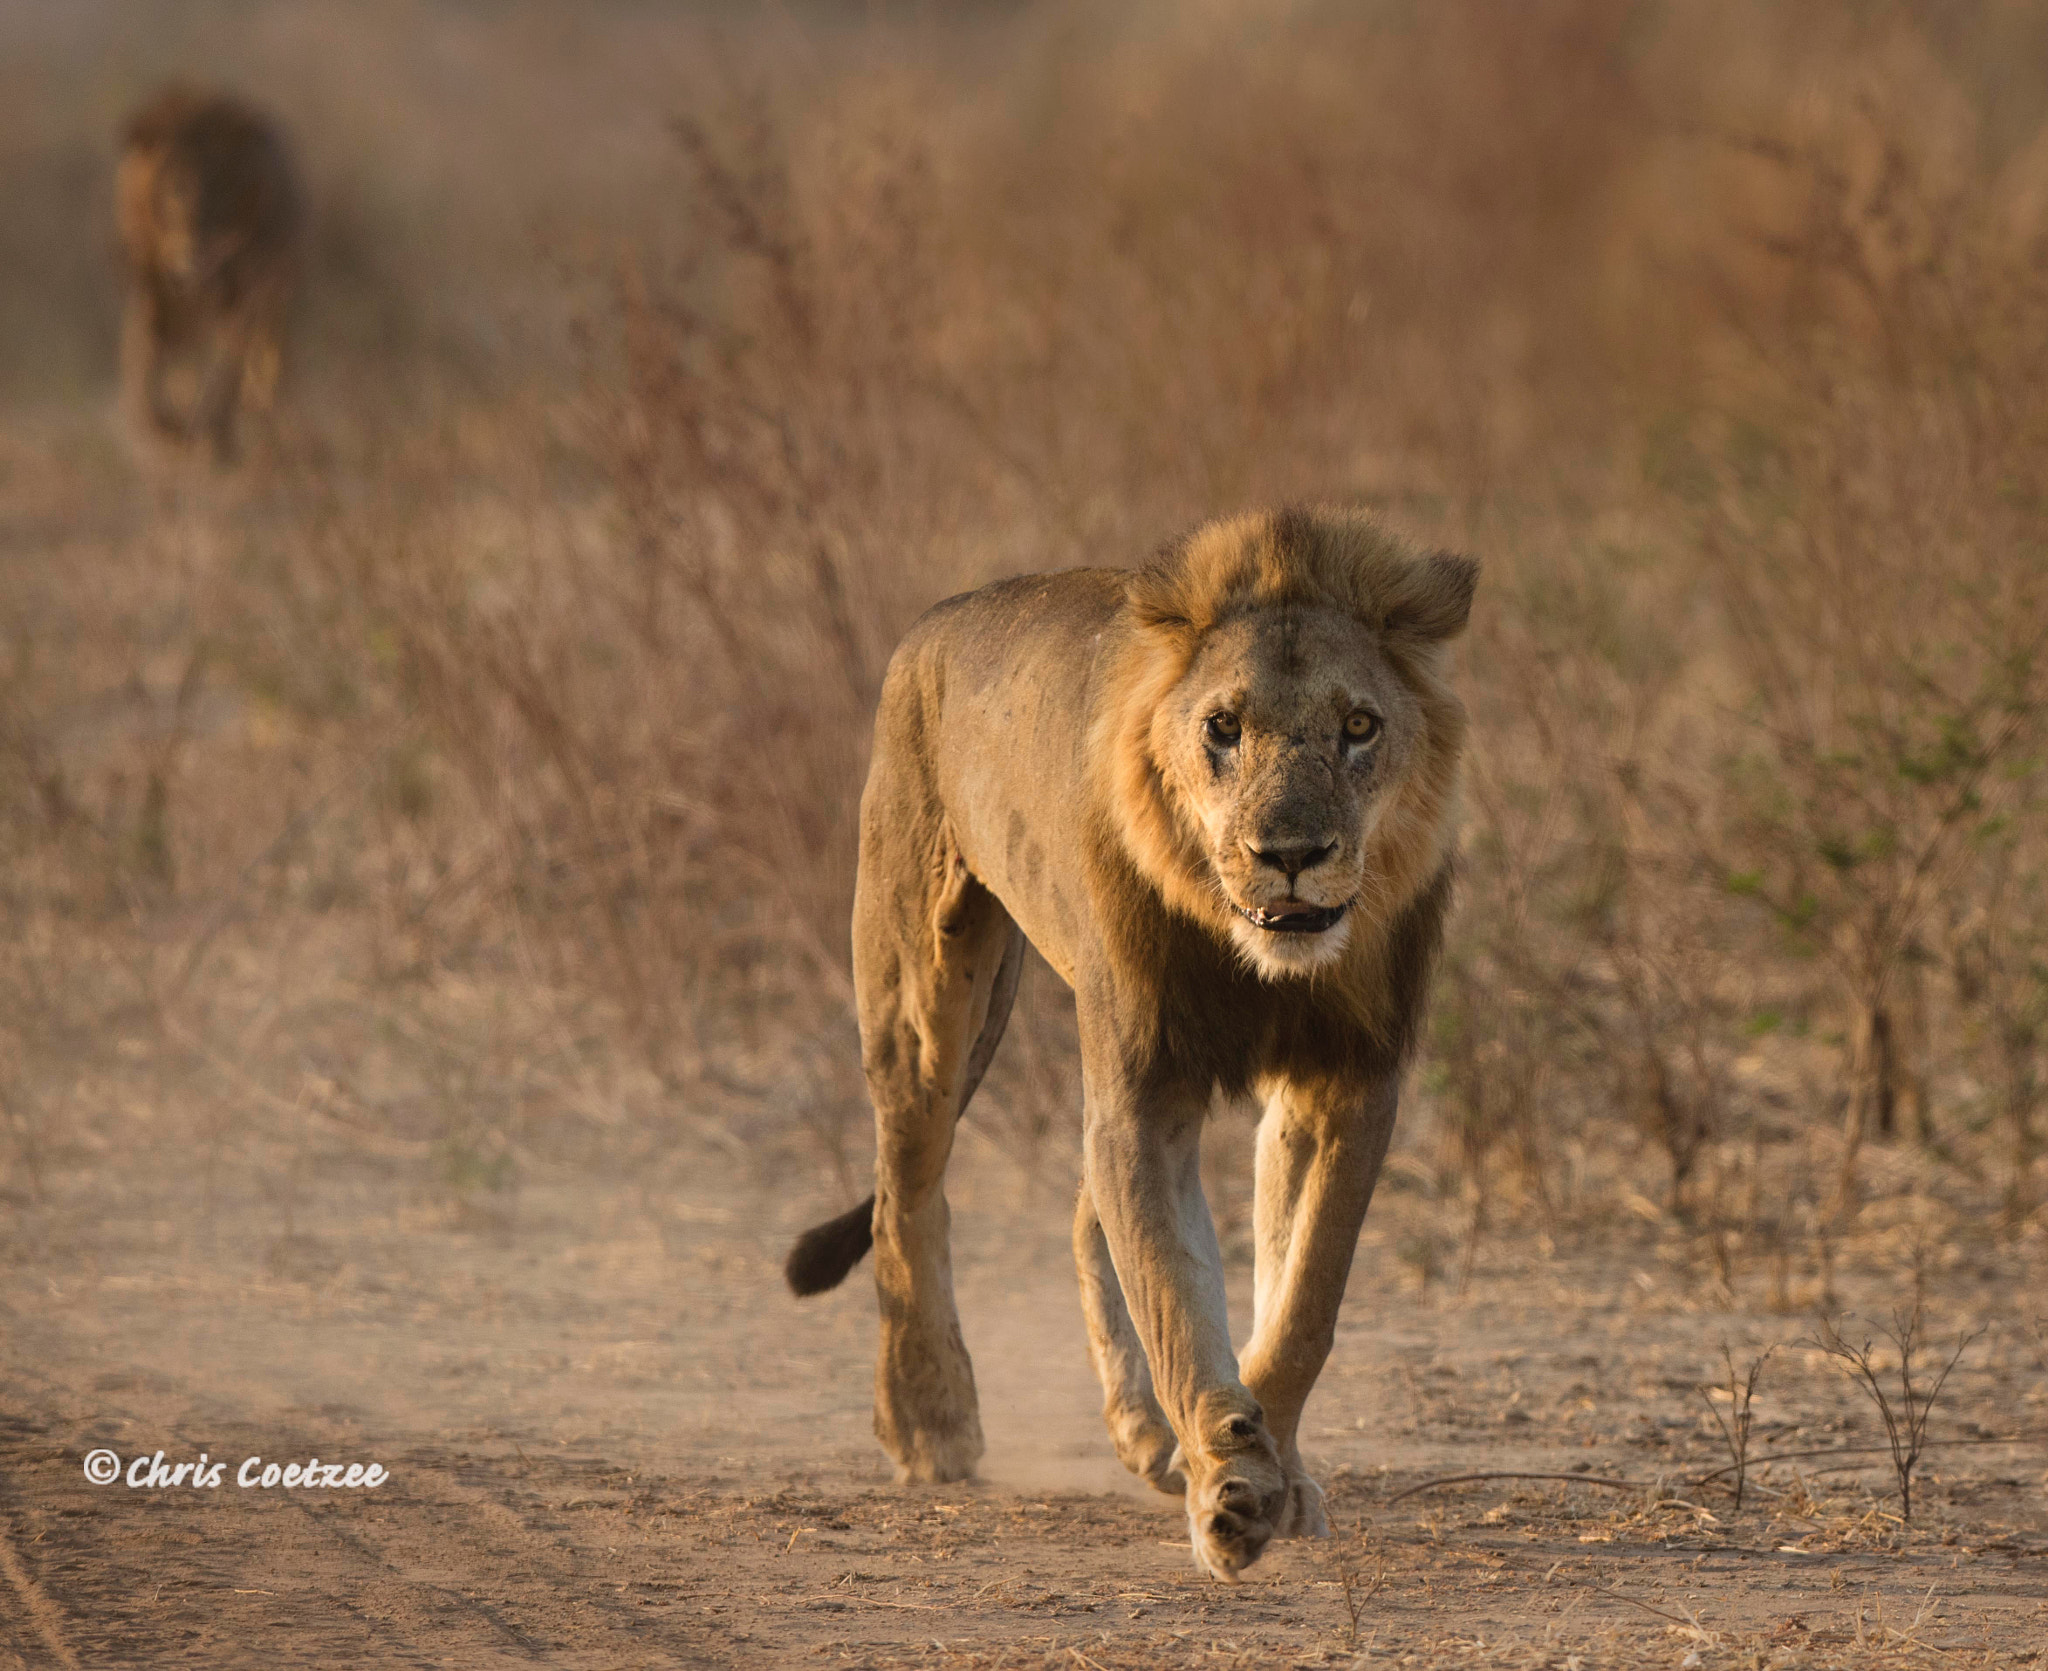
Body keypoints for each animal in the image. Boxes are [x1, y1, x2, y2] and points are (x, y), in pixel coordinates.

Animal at [116, 85, 303, 462]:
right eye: (171, 193)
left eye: (222, 195)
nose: (192, 258)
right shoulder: (148, 288)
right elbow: (142, 356)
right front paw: (160, 425)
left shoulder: (249, 292)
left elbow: (224, 369)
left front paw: (204, 434)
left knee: (257, 369)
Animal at [782, 509, 1474, 1580]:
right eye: (1223, 727)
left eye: (1359, 726)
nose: (1290, 854)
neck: (1251, 953)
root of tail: (936, 620)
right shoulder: (1144, 1090)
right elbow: (1177, 1299)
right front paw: (1231, 1488)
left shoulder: (1344, 1080)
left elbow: (1300, 1302)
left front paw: (1266, 1466)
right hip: (923, 985)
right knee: (908, 1194)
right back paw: (930, 1417)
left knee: (1076, 1210)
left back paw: (1144, 1432)